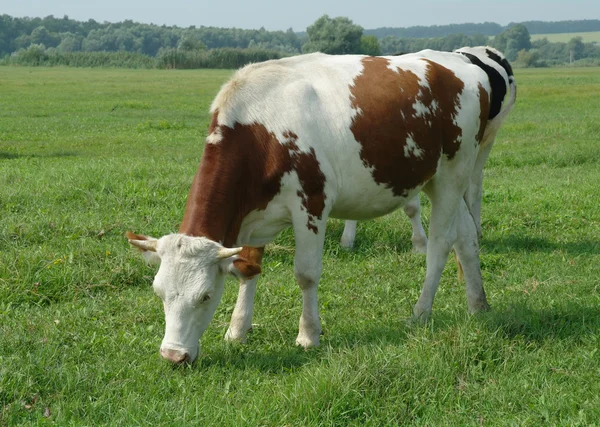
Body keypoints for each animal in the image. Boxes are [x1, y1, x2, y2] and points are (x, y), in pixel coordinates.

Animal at [126, 48, 516, 366]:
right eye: (159, 293)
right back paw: (478, 304)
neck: (261, 130)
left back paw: (420, 312)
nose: (173, 356)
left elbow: (307, 274)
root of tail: (461, 64)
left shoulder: (311, 204)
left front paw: (308, 335)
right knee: (466, 238)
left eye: (205, 296)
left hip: (453, 174)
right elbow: (248, 268)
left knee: (439, 245)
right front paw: (237, 330)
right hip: (446, 179)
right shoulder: (252, 217)